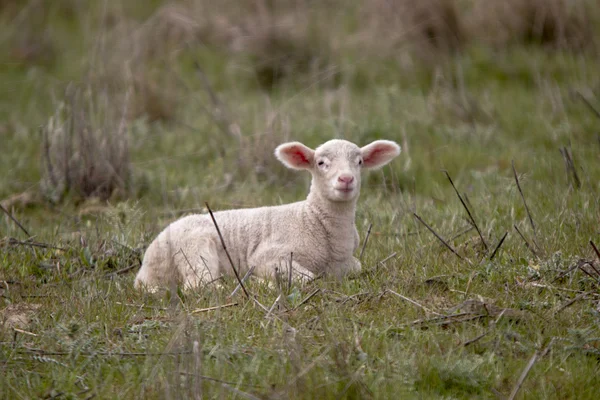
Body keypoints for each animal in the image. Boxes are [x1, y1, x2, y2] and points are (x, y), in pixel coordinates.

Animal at [134, 139, 400, 290]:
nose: (346, 179)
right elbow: (308, 278)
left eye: (360, 162)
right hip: (193, 249)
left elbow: (354, 267)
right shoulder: (268, 256)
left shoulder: (347, 262)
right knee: (198, 285)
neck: (313, 220)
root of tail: (145, 269)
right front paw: (265, 281)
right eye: (321, 163)